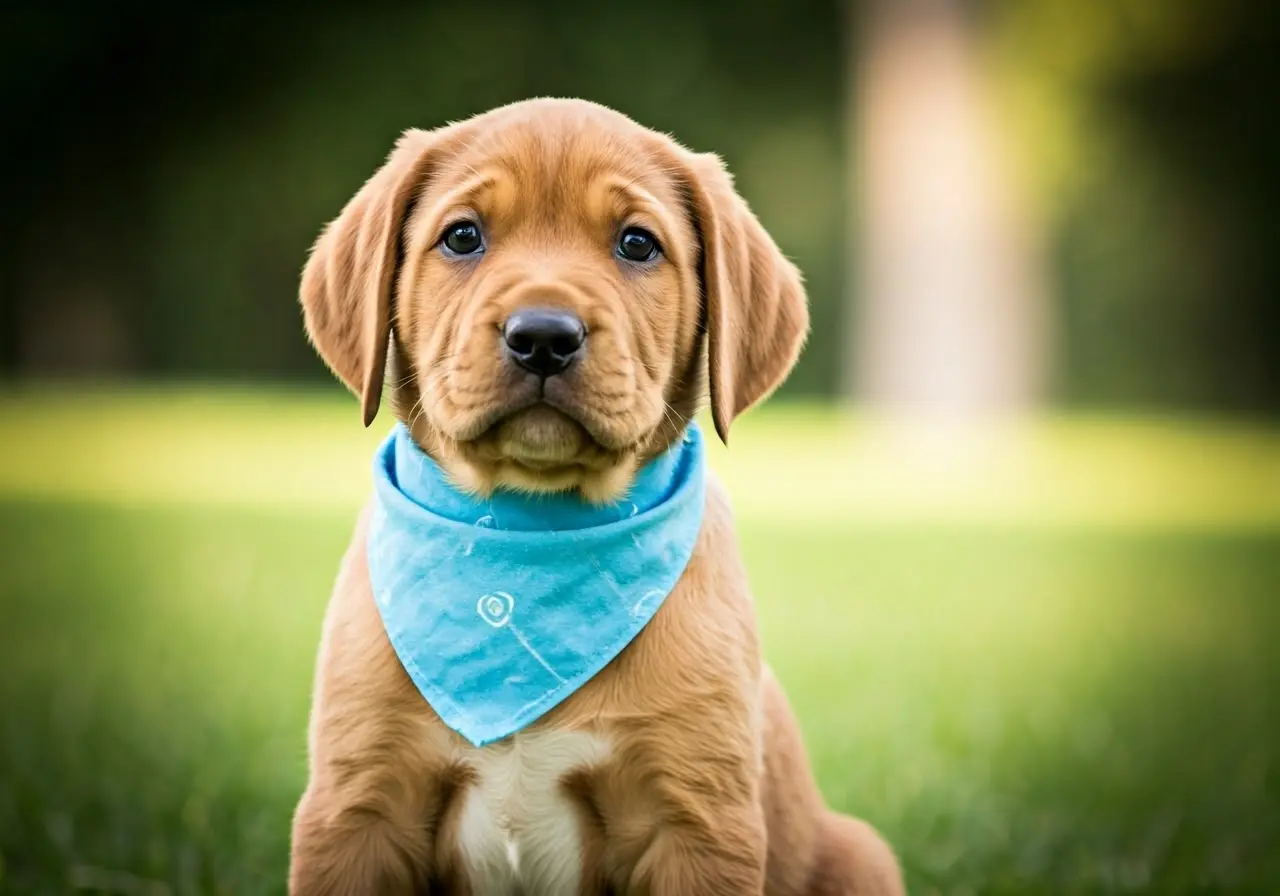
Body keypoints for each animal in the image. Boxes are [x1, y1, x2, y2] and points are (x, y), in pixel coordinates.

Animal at [293, 97, 906, 896]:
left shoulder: (698, 823)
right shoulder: (355, 808)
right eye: (462, 236)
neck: (529, 533)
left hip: (863, 853)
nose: (543, 337)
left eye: (637, 244)